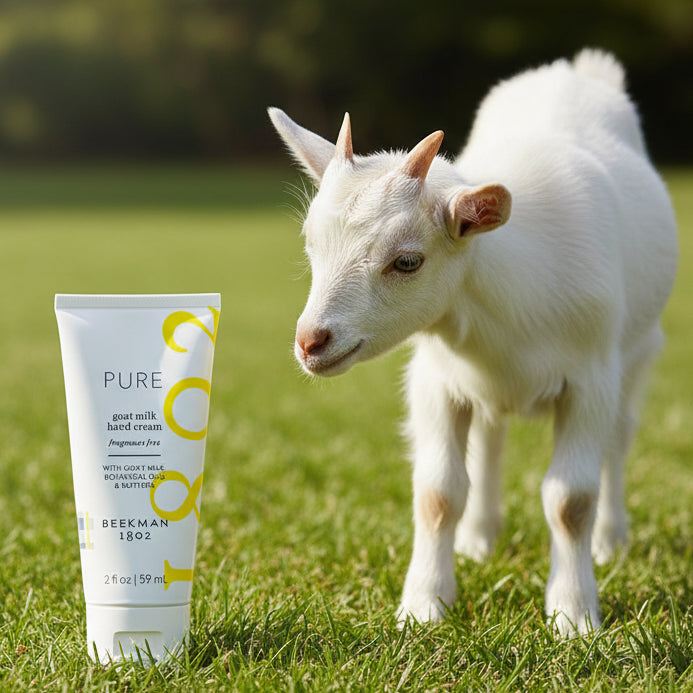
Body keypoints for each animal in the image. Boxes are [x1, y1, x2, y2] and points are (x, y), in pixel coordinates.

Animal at [268, 49, 678, 635]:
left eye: (407, 261)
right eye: (310, 242)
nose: (311, 342)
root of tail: (577, 68)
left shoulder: (589, 382)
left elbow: (570, 500)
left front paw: (573, 616)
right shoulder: (437, 381)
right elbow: (437, 491)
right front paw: (424, 606)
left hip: (639, 353)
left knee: (619, 440)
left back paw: (610, 540)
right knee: (490, 438)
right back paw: (479, 539)